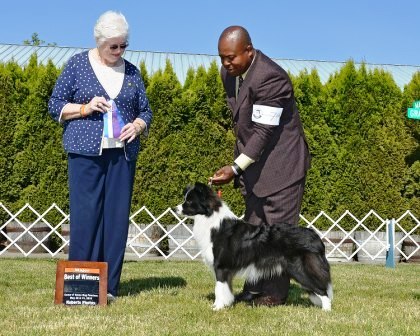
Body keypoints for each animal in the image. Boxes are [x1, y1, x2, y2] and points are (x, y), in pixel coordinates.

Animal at [174, 182, 332, 312]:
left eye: (189, 201)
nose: (175, 209)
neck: (210, 217)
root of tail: (315, 236)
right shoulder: (227, 270)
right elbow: (226, 289)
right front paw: (225, 304)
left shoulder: (221, 266)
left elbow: (219, 288)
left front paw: (217, 308)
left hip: (300, 269)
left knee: (322, 289)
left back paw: (326, 310)